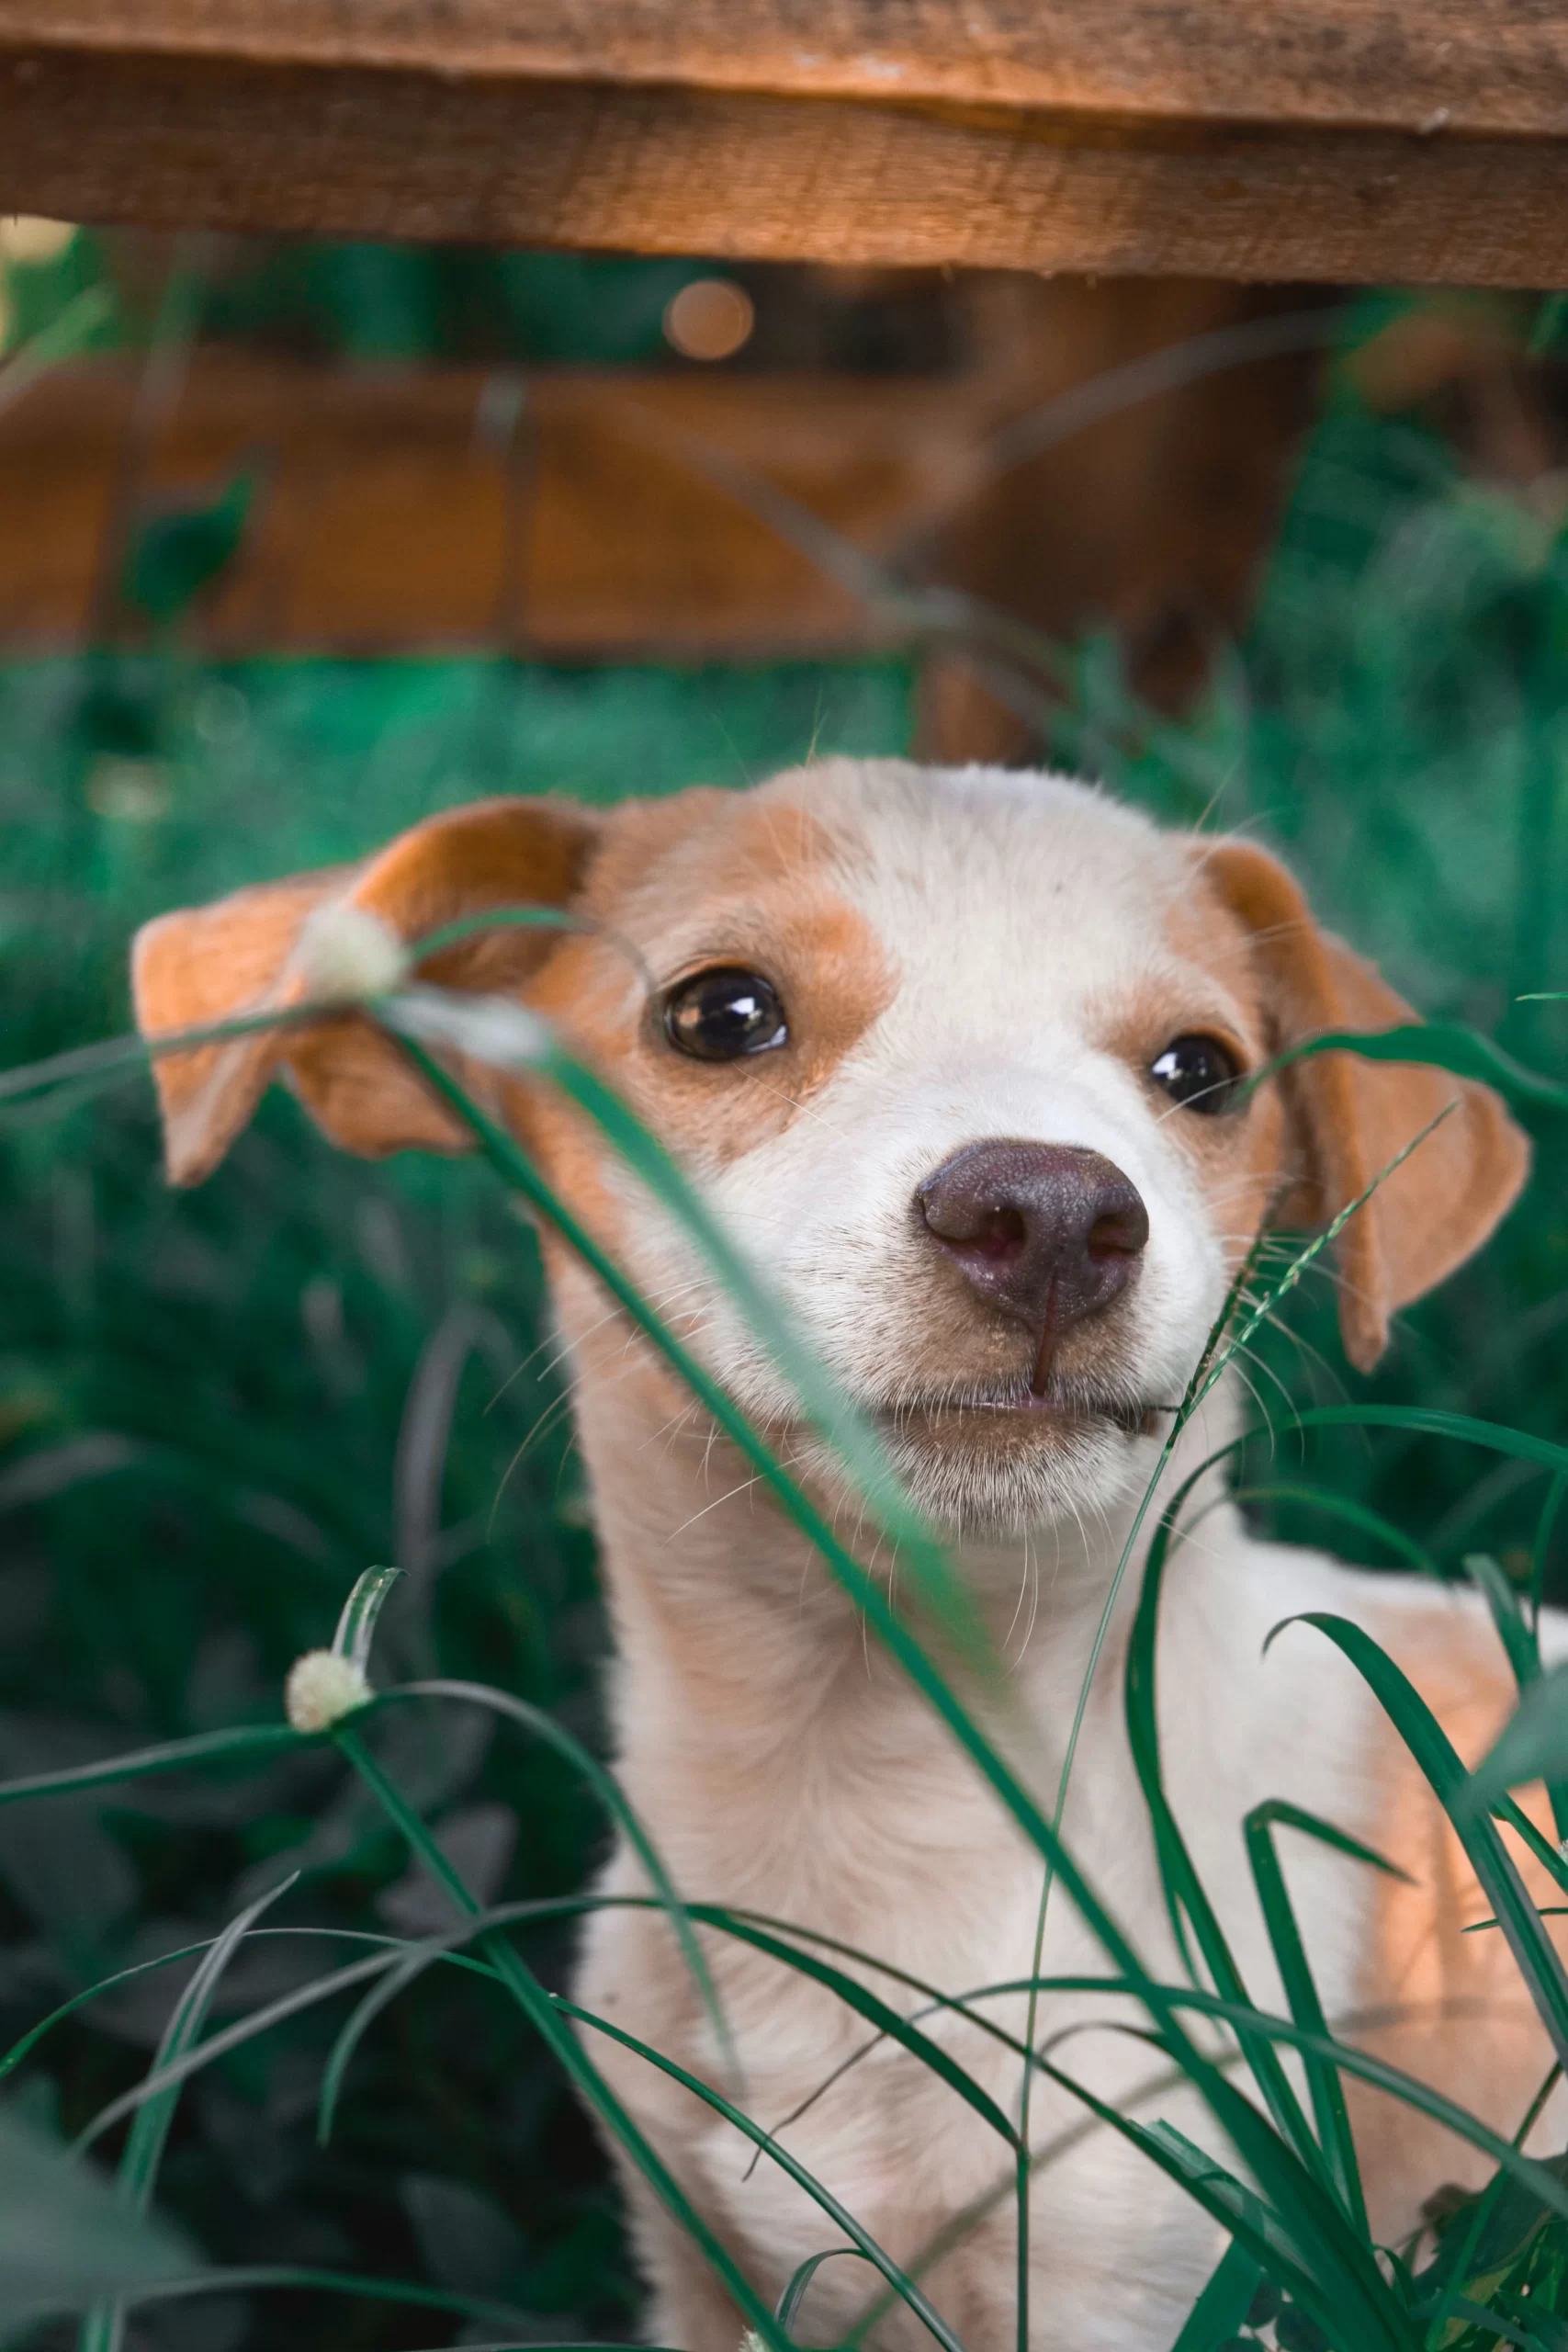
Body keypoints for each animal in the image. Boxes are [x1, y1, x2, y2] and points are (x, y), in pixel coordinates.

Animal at [135, 757, 1561, 2352]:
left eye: (1202, 1069)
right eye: (719, 1014)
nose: (1048, 1212)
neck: (875, 1776)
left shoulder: (1158, 2275)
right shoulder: (700, 2261)